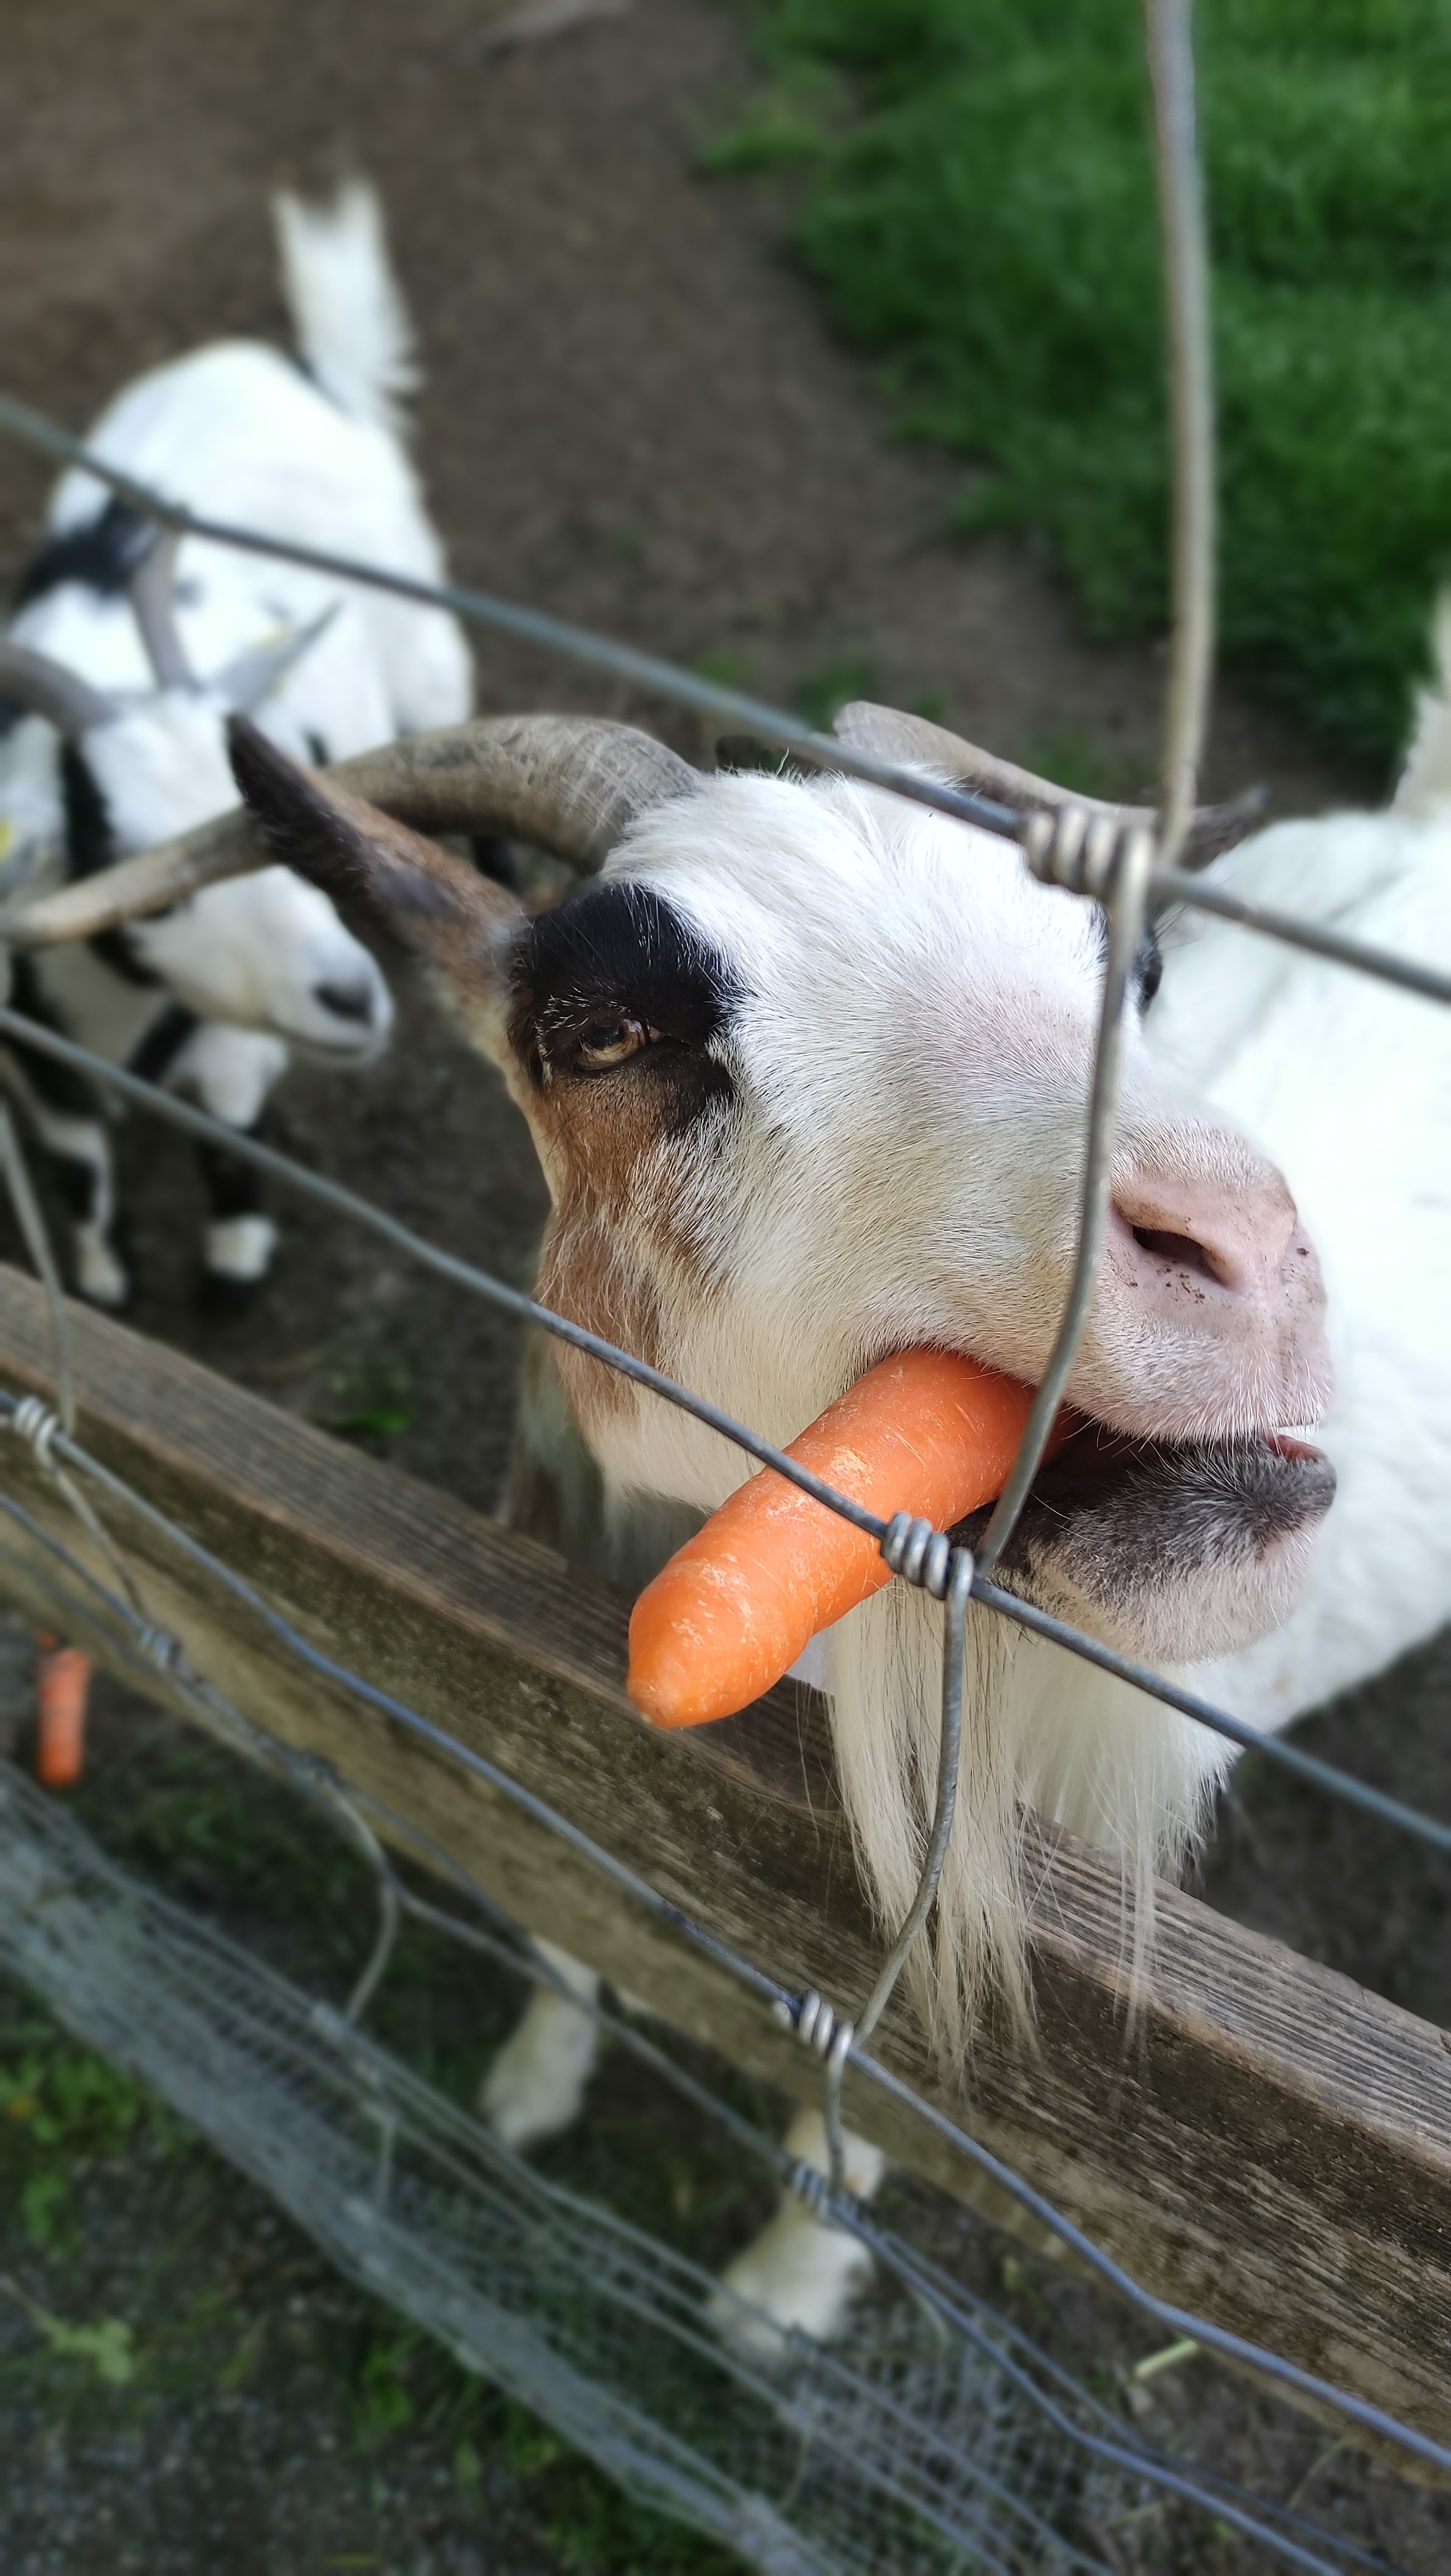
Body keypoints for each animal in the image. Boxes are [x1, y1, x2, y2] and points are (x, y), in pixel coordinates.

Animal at [0, 181, 471, 1308]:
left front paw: (236, 1253)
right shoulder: (29, 1055)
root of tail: (300, 364)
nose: (348, 996)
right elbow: (77, 1164)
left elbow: (228, 1125)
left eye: (263, 833)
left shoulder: (223, 1036)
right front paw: (100, 1276)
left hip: (428, 645)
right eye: (138, 875)